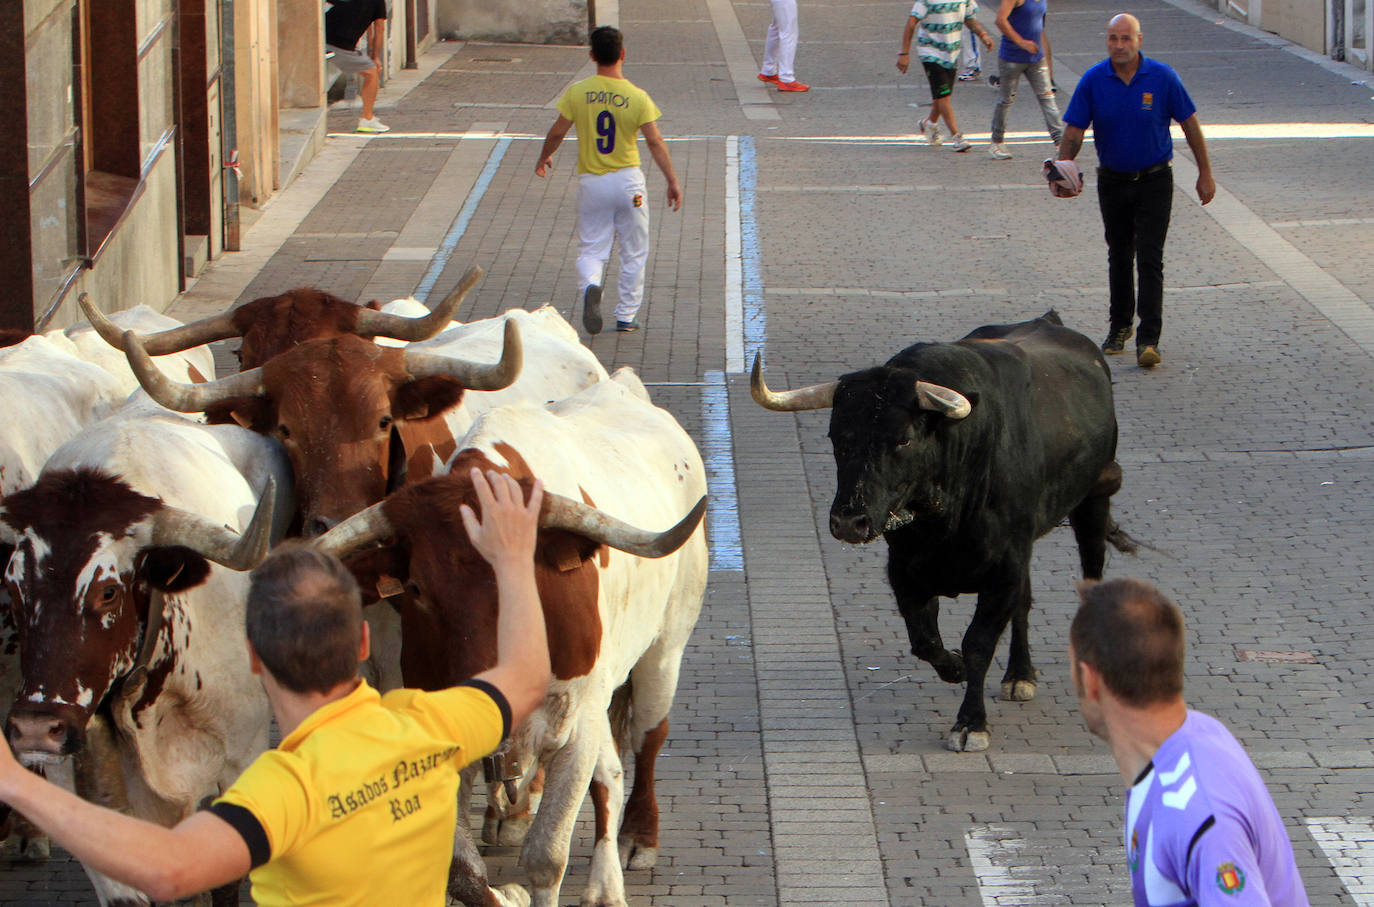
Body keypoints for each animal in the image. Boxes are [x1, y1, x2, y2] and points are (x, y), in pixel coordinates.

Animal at [758, 311, 1132, 753]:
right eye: (837, 437)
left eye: (903, 438)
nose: (849, 522)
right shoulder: (906, 569)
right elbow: (926, 640)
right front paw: (953, 667)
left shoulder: (1003, 567)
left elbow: (979, 643)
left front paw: (971, 723)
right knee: (1023, 605)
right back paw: (1019, 674)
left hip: (1093, 498)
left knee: (1091, 567)